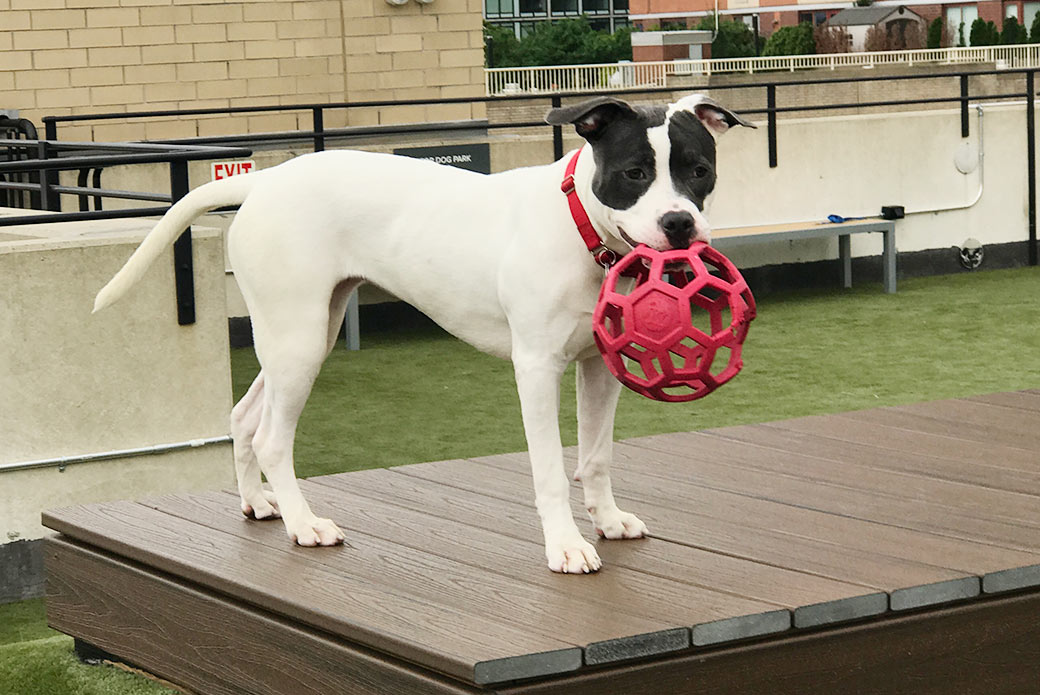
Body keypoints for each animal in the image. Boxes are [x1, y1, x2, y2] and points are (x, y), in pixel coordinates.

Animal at [93, 97, 752, 574]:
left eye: (700, 172)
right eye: (634, 173)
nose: (680, 223)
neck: (581, 227)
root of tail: (263, 182)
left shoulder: (600, 366)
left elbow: (595, 455)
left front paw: (608, 520)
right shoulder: (537, 368)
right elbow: (547, 469)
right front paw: (566, 546)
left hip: (303, 335)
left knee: (245, 415)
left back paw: (258, 503)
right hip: (299, 339)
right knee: (272, 438)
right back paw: (306, 526)